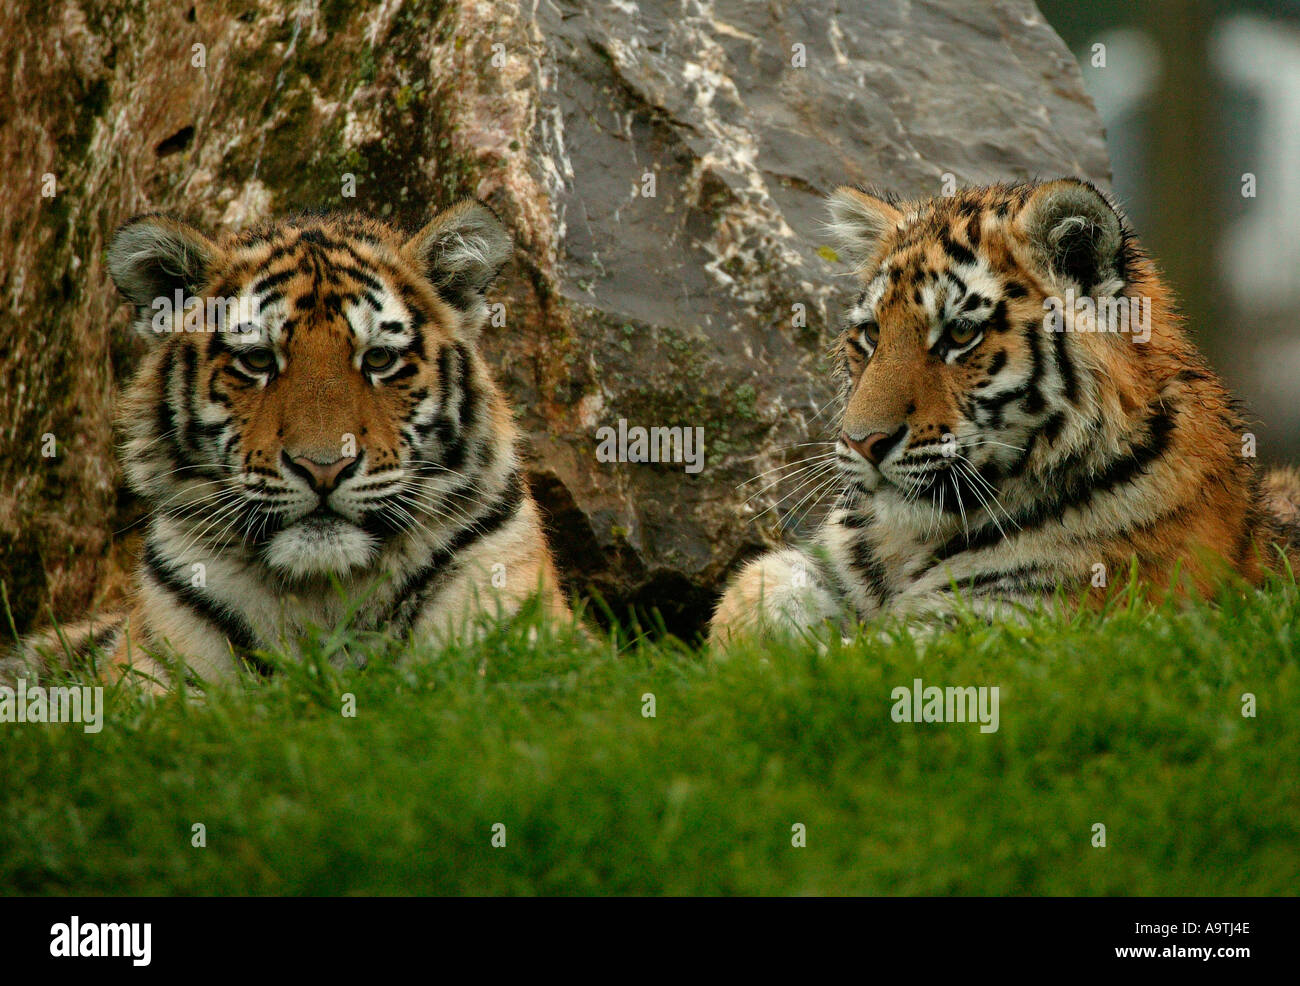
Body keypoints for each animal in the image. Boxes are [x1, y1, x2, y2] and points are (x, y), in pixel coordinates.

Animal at [711, 178, 1300, 643]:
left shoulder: (997, 619)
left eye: (960, 334)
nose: (863, 442)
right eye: (872, 334)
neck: (907, 540)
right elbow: (750, 591)